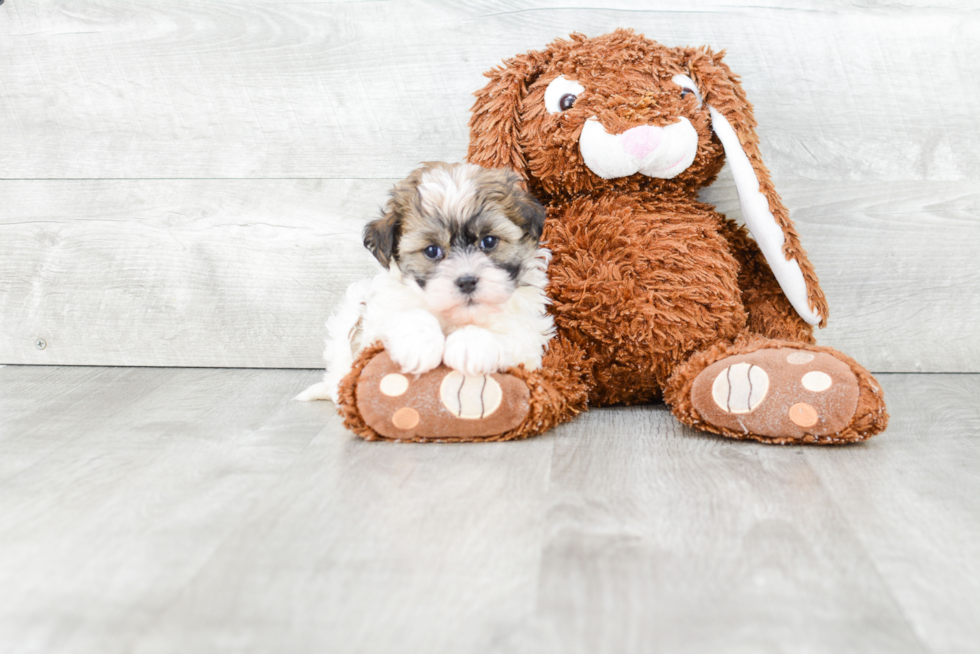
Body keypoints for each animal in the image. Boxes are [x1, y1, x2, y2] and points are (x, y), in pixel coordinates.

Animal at [294, 161, 556, 402]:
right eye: (432, 251)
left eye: (489, 241)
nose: (467, 281)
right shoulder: (377, 322)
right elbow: (405, 317)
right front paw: (418, 343)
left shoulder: (528, 337)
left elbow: (510, 332)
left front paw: (471, 344)